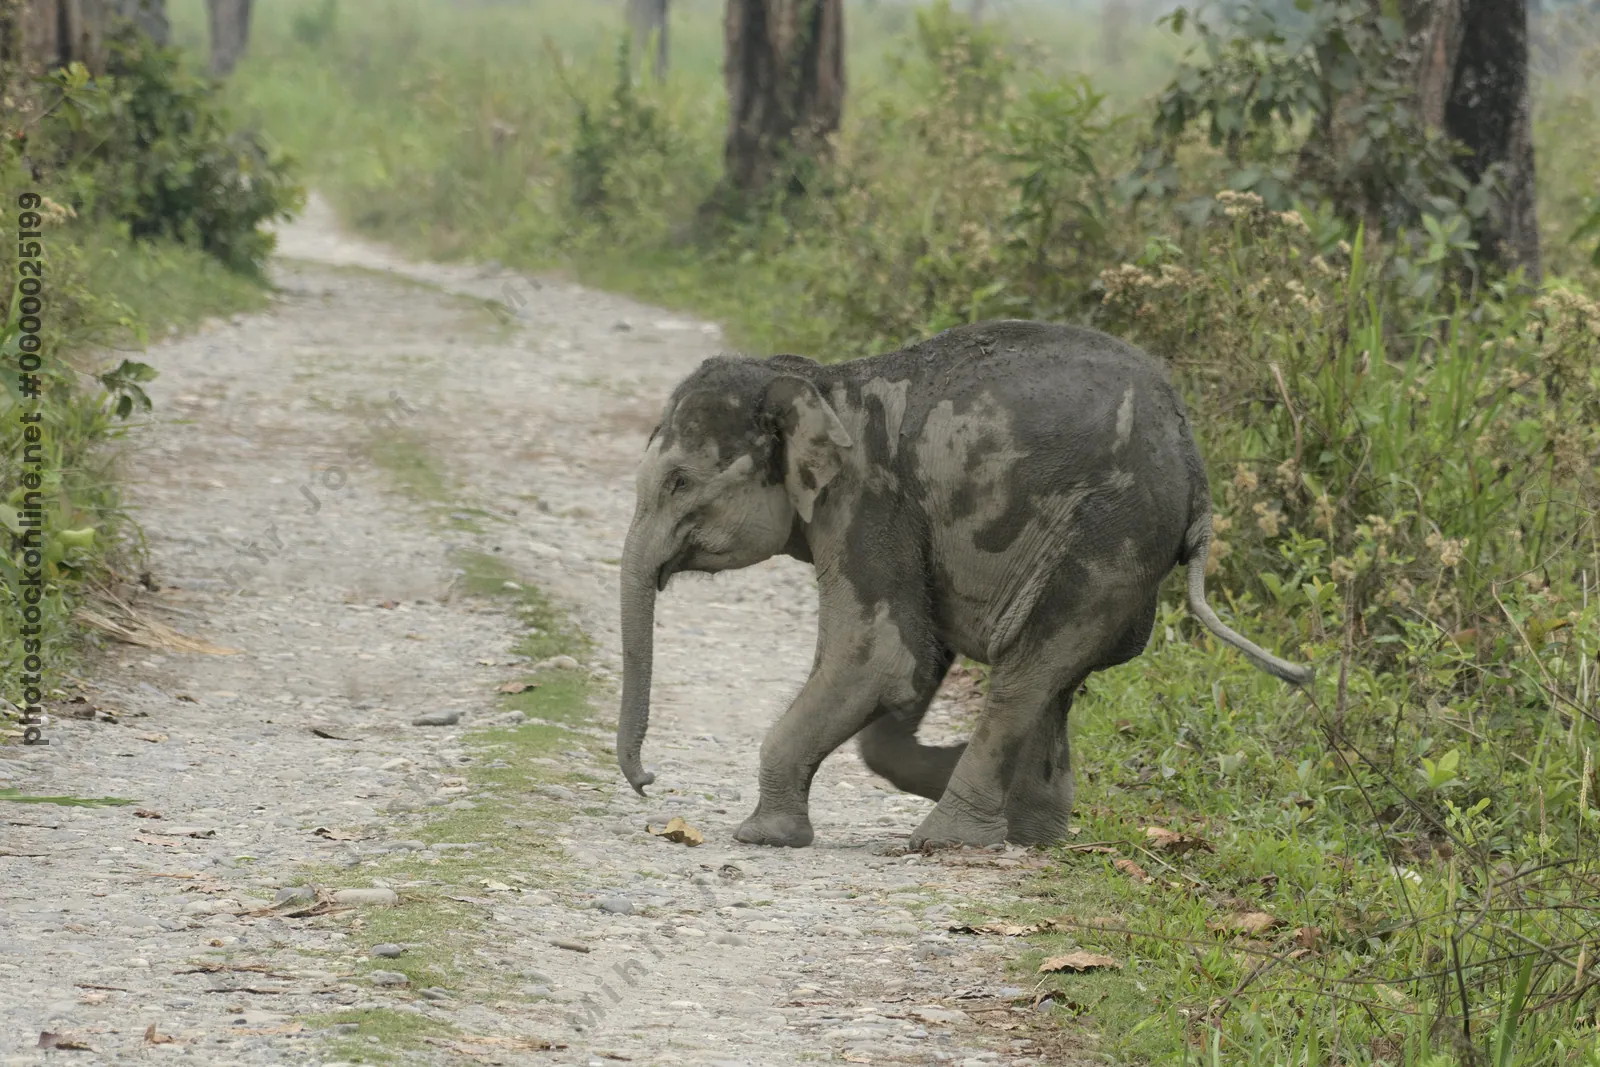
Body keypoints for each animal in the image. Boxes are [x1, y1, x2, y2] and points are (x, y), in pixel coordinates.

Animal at [615, 320, 1311, 849]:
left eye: (679, 481)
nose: (649, 782)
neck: (823, 383)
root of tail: (1195, 467)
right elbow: (918, 657)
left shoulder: (868, 500)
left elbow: (881, 657)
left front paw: (761, 837)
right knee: (1055, 680)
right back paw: (1031, 830)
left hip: (1107, 535)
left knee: (1025, 673)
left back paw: (946, 838)